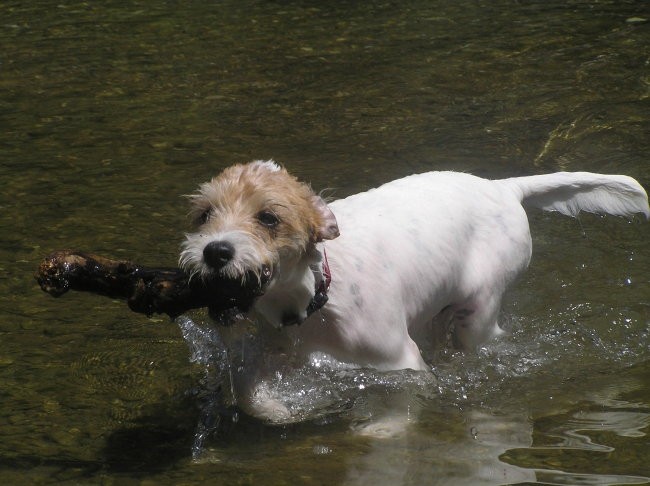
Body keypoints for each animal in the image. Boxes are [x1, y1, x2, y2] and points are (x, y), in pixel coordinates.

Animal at [178, 160, 648, 422]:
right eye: (204, 215)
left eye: (269, 218)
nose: (215, 252)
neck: (316, 298)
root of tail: (504, 187)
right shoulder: (266, 352)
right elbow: (249, 394)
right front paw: (283, 410)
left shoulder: (399, 362)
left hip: (480, 310)